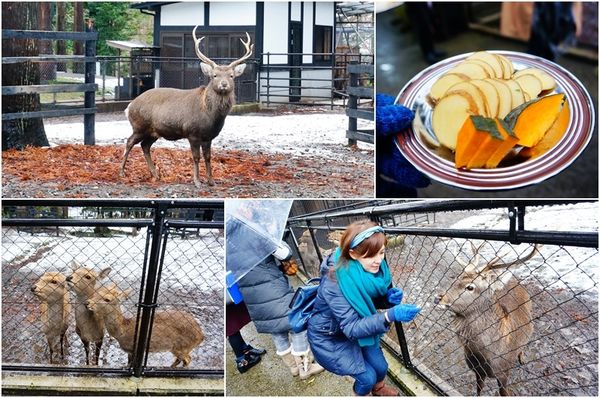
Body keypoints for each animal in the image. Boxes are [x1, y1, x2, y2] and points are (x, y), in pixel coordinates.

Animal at [119, 26, 253, 188]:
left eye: (231, 75)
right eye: (214, 75)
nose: (224, 84)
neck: (210, 116)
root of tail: (129, 106)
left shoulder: (208, 136)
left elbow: (208, 157)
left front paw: (211, 181)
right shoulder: (192, 132)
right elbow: (196, 157)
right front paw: (197, 181)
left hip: (153, 131)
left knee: (145, 146)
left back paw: (155, 174)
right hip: (139, 126)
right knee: (129, 142)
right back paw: (122, 172)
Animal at [434, 243, 536, 394]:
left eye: (470, 287)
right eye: (456, 278)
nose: (438, 298)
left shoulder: (504, 374)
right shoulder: (477, 372)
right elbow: (479, 391)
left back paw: (522, 357)